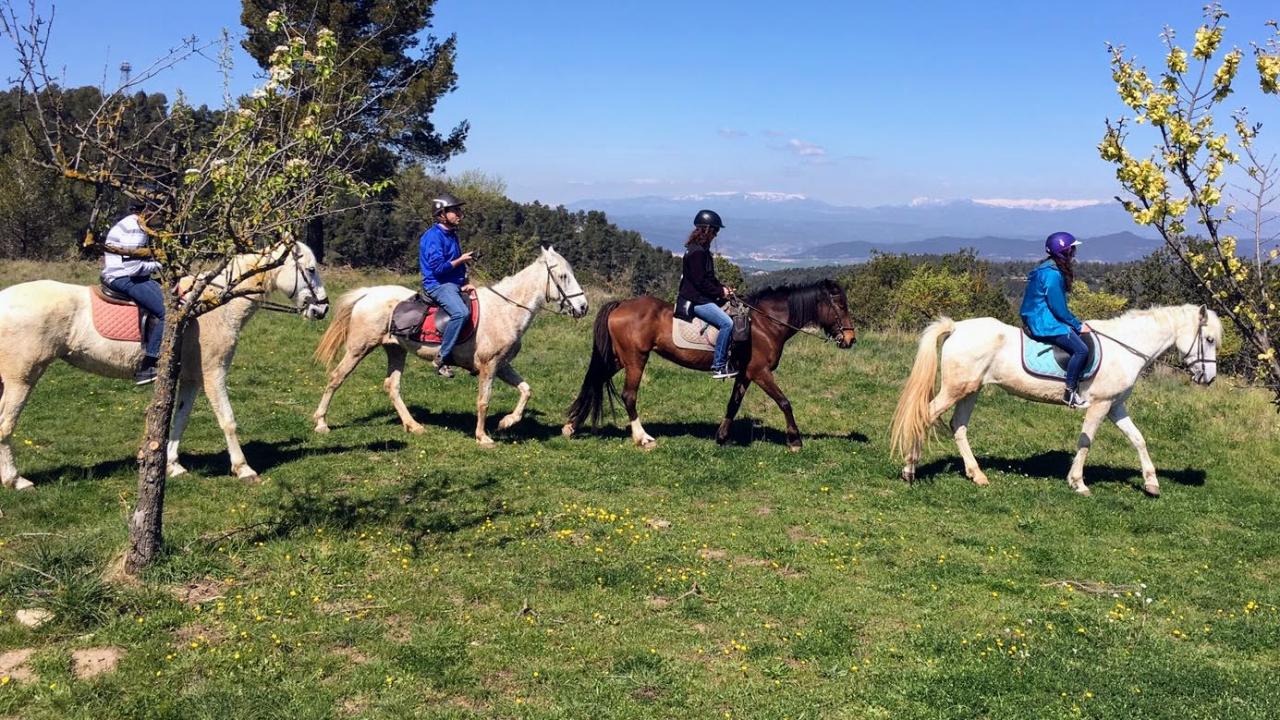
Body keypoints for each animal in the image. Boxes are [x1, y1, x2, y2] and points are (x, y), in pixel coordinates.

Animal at [0, 242, 330, 486]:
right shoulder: (213, 373)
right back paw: (16, 481)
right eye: (311, 269)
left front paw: (173, 465)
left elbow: (179, 420)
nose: (322, 309)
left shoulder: (191, 379)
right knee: (6, 425)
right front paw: (243, 468)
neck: (215, 302)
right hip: (22, 379)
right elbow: (228, 420)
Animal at [309, 244, 588, 443]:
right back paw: (321, 423)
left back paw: (414, 426)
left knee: (392, 386)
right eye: (563, 276)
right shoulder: (488, 366)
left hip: (396, 350)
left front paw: (507, 422)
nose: (583, 307)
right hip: (359, 348)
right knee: (336, 378)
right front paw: (483, 437)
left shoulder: (502, 365)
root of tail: (369, 293)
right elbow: (483, 400)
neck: (506, 309)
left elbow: (526, 390)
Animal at [563, 279, 855, 448]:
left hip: (617, 358)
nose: (850, 339)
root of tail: (621, 304)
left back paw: (571, 426)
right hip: (636, 358)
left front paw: (721, 437)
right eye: (840, 305)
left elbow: (733, 405)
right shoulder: (760, 372)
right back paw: (642, 437)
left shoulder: (745, 373)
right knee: (628, 395)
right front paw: (795, 440)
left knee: (595, 380)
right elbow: (784, 402)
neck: (765, 324)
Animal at [890, 302, 1218, 491]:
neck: (1125, 347)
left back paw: (977, 475)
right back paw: (909, 469)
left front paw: (1151, 483)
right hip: (956, 389)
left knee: (958, 426)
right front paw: (1078, 482)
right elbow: (1086, 441)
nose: (1209, 379)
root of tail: (956, 327)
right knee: (925, 415)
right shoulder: (1100, 405)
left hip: (972, 390)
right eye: (1210, 339)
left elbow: (1138, 439)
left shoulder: (1116, 405)